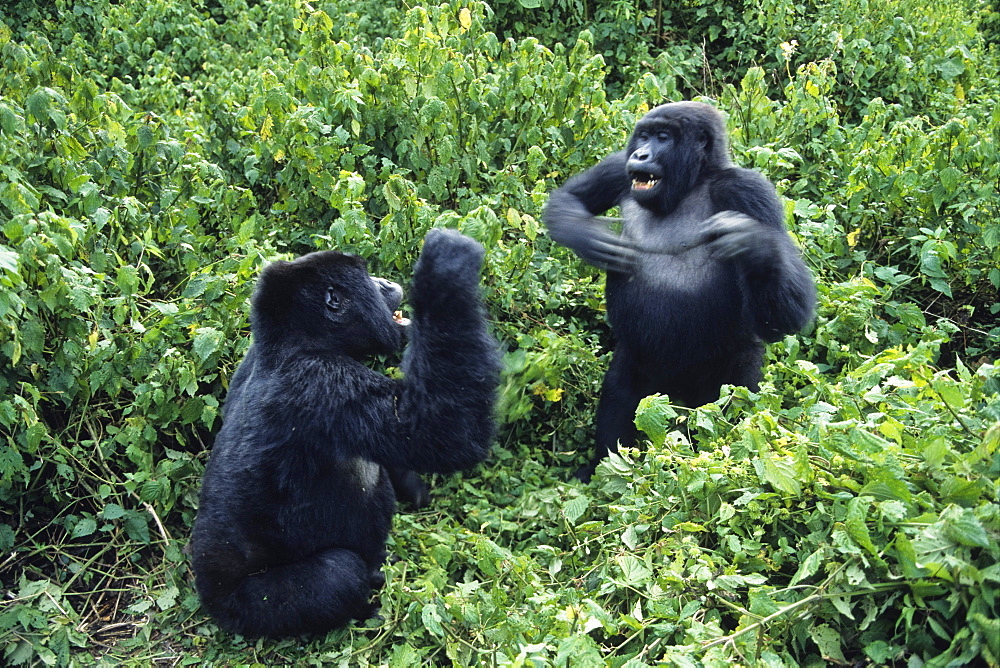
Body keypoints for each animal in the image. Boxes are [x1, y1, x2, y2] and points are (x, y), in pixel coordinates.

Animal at [188, 228, 500, 636]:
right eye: (369, 279)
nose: (387, 282)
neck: (294, 341)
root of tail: (209, 596)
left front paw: (412, 486)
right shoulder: (322, 383)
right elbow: (442, 434)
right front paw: (447, 265)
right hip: (244, 609)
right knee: (340, 572)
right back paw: (367, 603)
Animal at [544, 100, 816, 480]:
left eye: (663, 137)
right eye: (644, 135)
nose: (641, 154)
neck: (693, 182)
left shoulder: (748, 191)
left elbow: (785, 317)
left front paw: (756, 243)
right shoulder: (617, 167)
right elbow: (568, 198)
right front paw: (584, 234)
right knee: (622, 393)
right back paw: (604, 467)